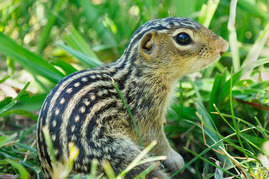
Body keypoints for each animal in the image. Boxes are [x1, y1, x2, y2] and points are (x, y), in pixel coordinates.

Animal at [36, 16, 227, 178]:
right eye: (182, 38)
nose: (224, 46)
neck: (140, 74)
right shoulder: (146, 111)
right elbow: (155, 140)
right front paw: (176, 159)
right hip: (116, 156)